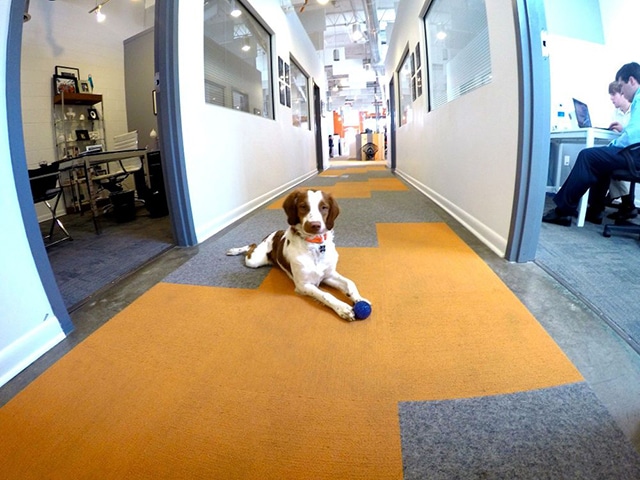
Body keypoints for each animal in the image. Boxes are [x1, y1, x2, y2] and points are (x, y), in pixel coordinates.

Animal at [226, 189, 370, 320]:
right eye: (303, 206)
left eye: (324, 207)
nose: (315, 225)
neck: (315, 246)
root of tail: (273, 233)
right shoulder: (303, 284)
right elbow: (326, 295)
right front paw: (343, 308)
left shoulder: (327, 275)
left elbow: (350, 283)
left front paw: (360, 299)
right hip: (254, 261)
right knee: (251, 246)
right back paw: (234, 250)